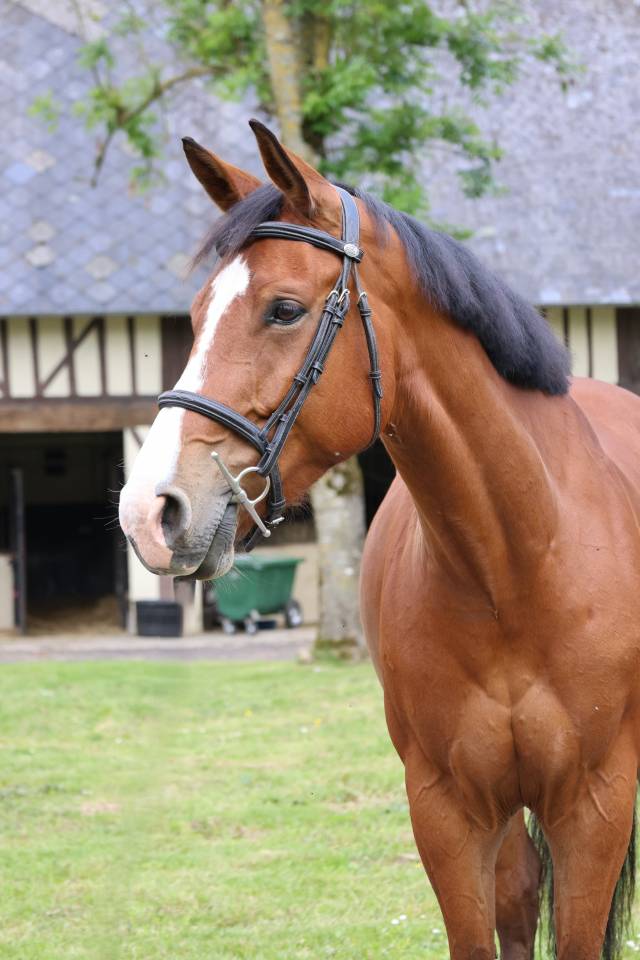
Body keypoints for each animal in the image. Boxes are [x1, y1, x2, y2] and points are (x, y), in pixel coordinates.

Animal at [119, 120, 640, 960]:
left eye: (284, 309)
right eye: (196, 316)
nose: (150, 509)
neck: (517, 566)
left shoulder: (594, 805)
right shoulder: (448, 810)